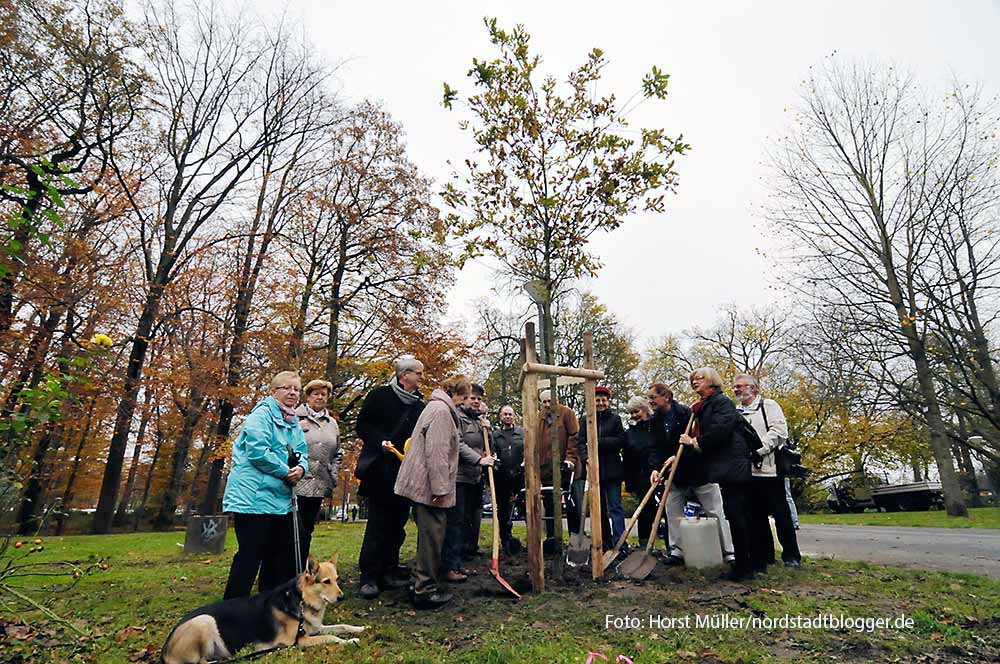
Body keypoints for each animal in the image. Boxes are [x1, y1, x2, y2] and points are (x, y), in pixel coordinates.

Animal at [162, 548, 366, 664]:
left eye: (337, 580)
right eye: (326, 582)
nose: (342, 597)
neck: (301, 600)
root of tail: (165, 651)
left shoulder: (314, 629)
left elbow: (341, 626)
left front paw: (359, 628)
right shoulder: (299, 641)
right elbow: (331, 637)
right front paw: (351, 641)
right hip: (204, 621)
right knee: (200, 662)